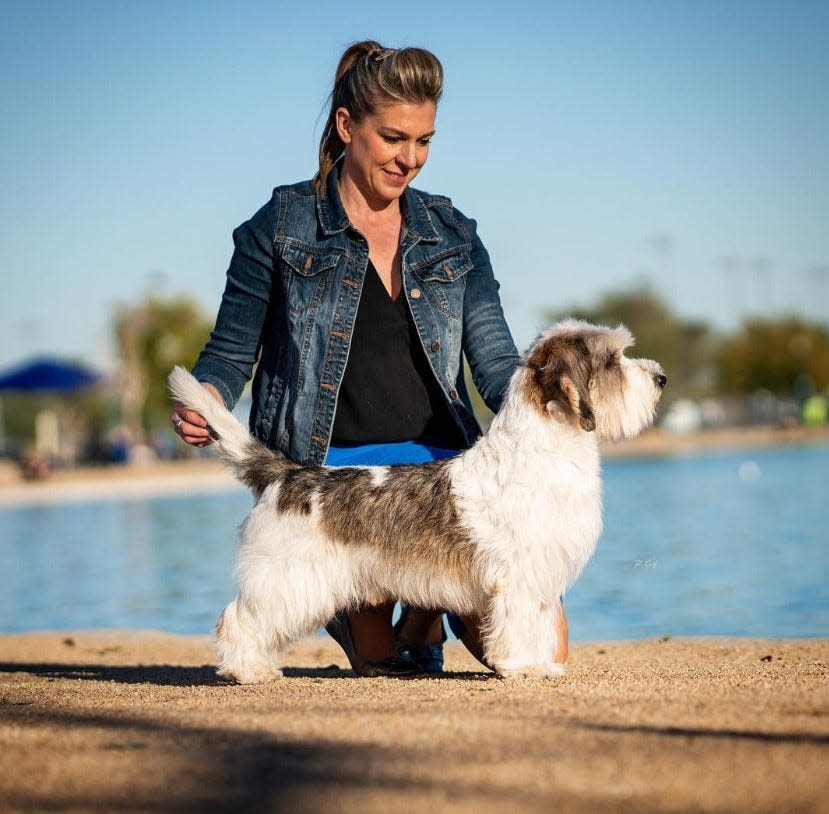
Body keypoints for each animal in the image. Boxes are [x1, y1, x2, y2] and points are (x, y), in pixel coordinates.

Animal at [168, 318, 668, 684]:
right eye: (612, 360)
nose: (662, 377)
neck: (545, 449)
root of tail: (287, 473)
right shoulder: (519, 577)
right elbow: (519, 622)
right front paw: (524, 665)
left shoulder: (542, 575)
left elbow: (539, 624)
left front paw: (541, 661)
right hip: (284, 579)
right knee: (237, 618)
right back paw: (248, 670)